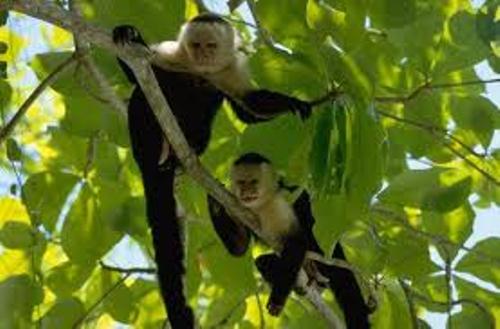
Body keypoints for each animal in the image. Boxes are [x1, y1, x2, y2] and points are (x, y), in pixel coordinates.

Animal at [112, 12, 328, 328]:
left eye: (211, 46)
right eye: (196, 44)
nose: (202, 54)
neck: (200, 69)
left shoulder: (230, 72)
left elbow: (247, 107)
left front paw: (292, 103)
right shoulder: (171, 54)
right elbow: (139, 74)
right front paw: (127, 33)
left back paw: (182, 153)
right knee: (141, 99)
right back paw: (155, 141)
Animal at [207, 152, 372, 326]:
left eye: (253, 182)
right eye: (241, 182)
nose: (246, 191)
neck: (262, 204)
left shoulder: (280, 203)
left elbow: (296, 241)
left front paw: (277, 300)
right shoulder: (236, 206)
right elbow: (239, 247)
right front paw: (214, 202)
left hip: (324, 253)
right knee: (262, 262)